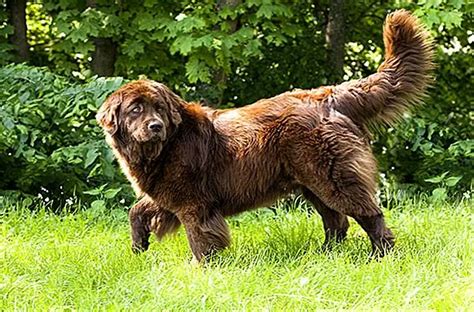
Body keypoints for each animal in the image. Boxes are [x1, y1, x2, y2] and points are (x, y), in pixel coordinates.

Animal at [96, 10, 434, 260]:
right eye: (136, 109)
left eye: (159, 108)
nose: (156, 126)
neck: (166, 146)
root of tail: (330, 95)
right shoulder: (166, 193)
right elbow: (137, 210)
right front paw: (138, 247)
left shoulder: (194, 202)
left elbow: (200, 237)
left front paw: (200, 268)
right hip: (312, 182)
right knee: (336, 221)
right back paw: (325, 255)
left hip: (332, 177)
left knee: (367, 213)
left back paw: (381, 255)